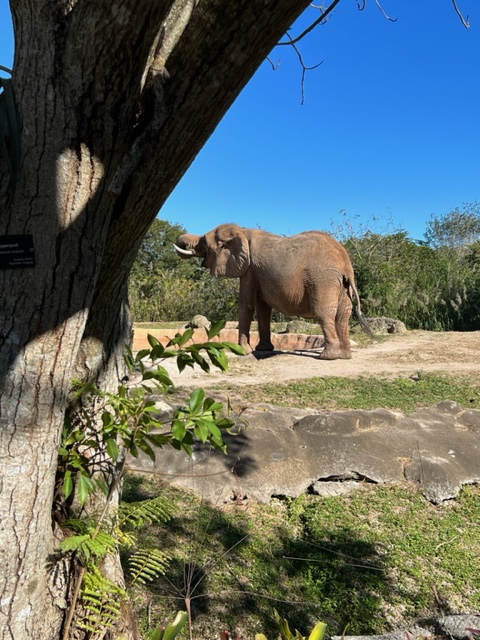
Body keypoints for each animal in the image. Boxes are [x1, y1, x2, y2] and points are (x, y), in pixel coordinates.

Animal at [174, 223, 371, 360]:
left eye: (204, 243)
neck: (242, 230)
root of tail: (345, 264)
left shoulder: (249, 269)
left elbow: (246, 305)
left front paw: (243, 351)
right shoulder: (259, 272)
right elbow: (263, 309)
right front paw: (262, 350)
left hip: (323, 280)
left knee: (324, 314)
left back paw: (328, 357)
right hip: (341, 284)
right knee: (342, 316)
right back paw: (345, 356)